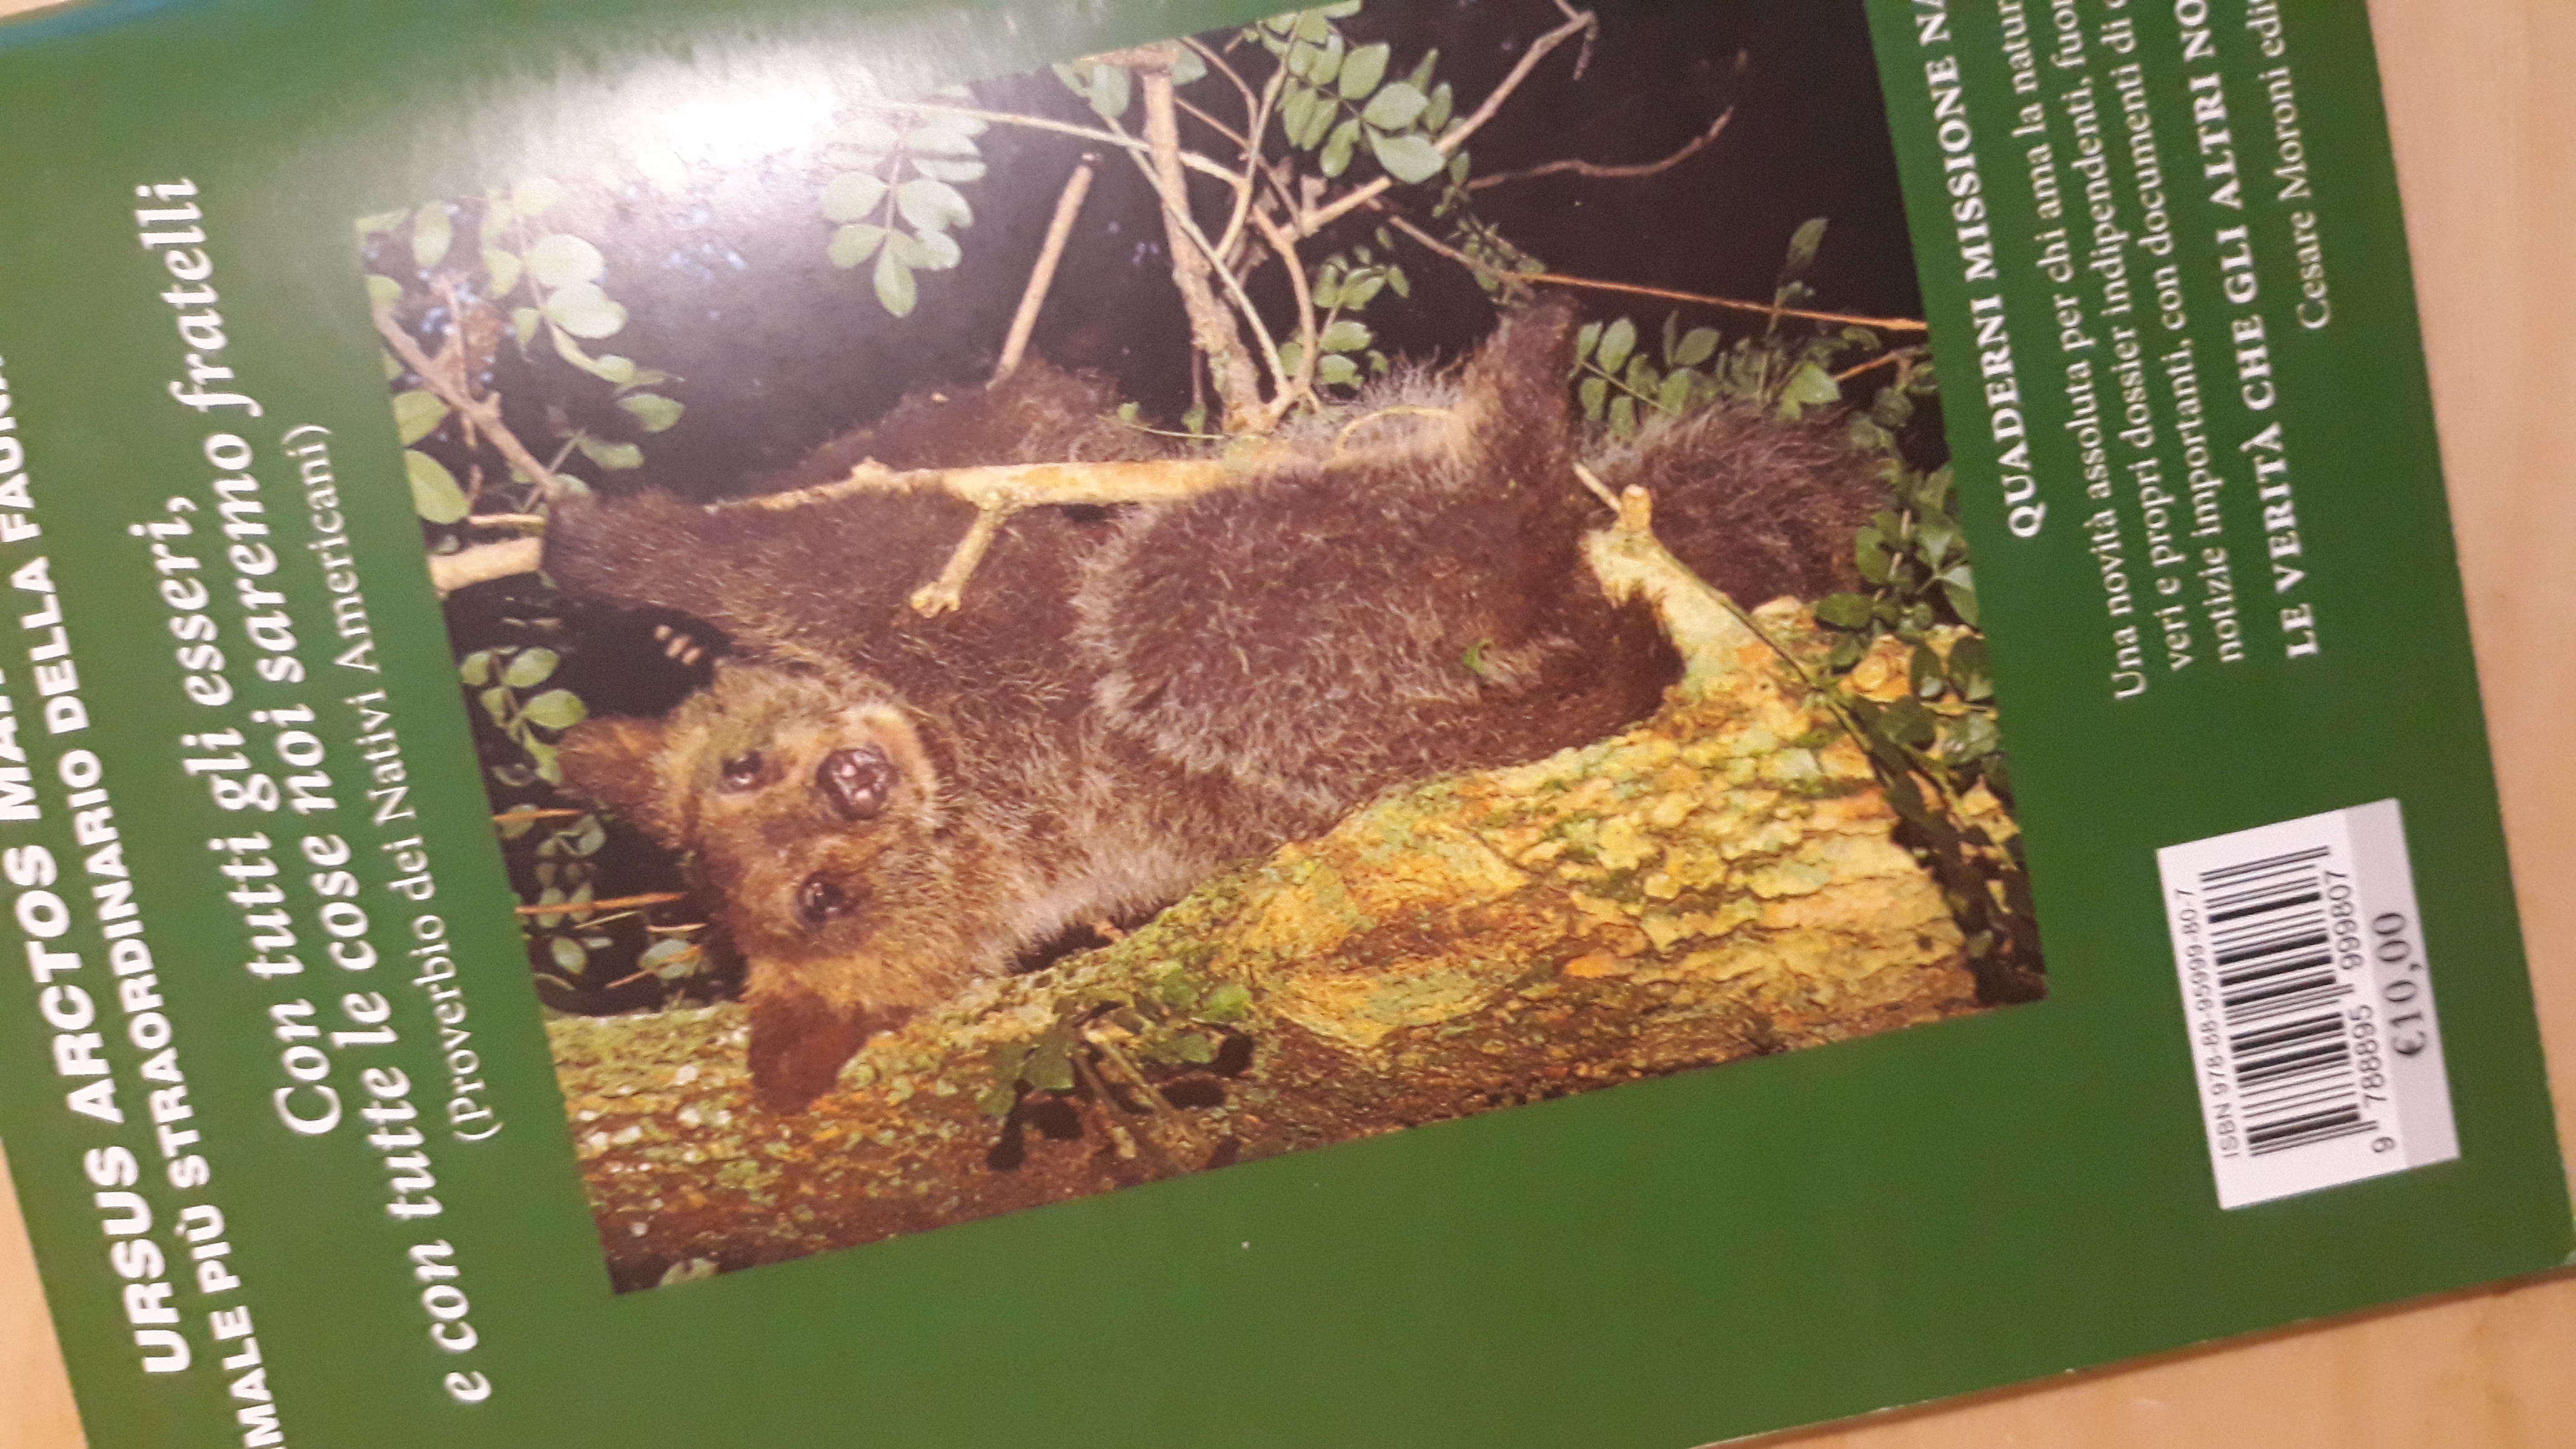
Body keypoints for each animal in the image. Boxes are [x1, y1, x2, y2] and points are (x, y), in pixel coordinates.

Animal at [545, 300, 1883, 1111]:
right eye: (820, 899)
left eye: (742, 772)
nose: (852, 779)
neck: (950, 788)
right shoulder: (986, 693)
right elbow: (823, 545)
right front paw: (653, 544)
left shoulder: (925, 618)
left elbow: (927, 454)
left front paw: (624, 552)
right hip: (1356, 675)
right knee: (1187, 599)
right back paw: (1515, 471)